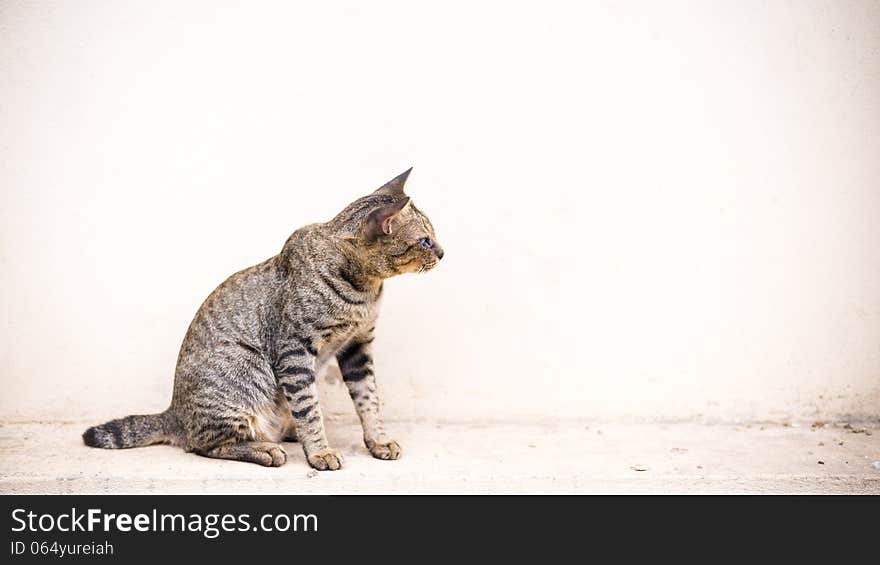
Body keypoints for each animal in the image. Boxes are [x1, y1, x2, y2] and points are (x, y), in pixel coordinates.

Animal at [83, 170, 444, 470]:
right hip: (248, 367)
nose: (442, 252)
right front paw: (320, 451)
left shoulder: (358, 345)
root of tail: (173, 413)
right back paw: (265, 449)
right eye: (425, 240)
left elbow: (368, 399)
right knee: (203, 444)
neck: (366, 290)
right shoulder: (295, 351)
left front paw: (378, 441)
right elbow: (310, 408)